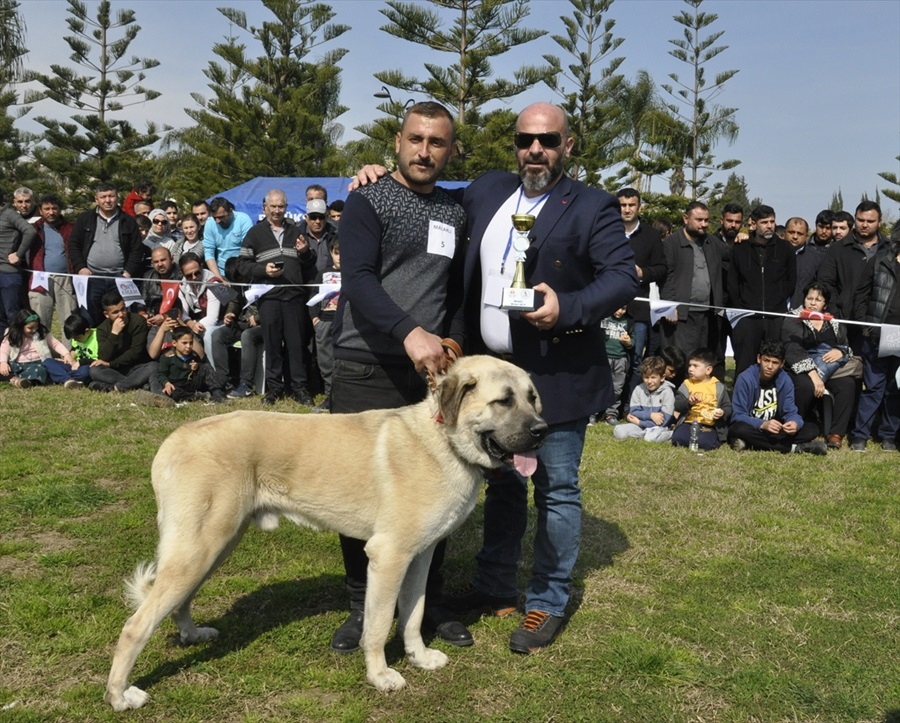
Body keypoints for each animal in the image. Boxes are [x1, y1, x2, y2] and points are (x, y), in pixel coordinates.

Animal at [103, 356, 540, 712]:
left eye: (532, 398)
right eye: (503, 401)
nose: (543, 430)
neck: (443, 443)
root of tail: (175, 438)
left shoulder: (419, 556)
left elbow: (413, 615)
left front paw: (419, 657)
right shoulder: (388, 556)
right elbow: (378, 625)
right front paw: (380, 676)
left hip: (214, 546)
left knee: (178, 602)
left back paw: (192, 635)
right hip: (200, 548)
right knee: (135, 626)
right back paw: (120, 696)